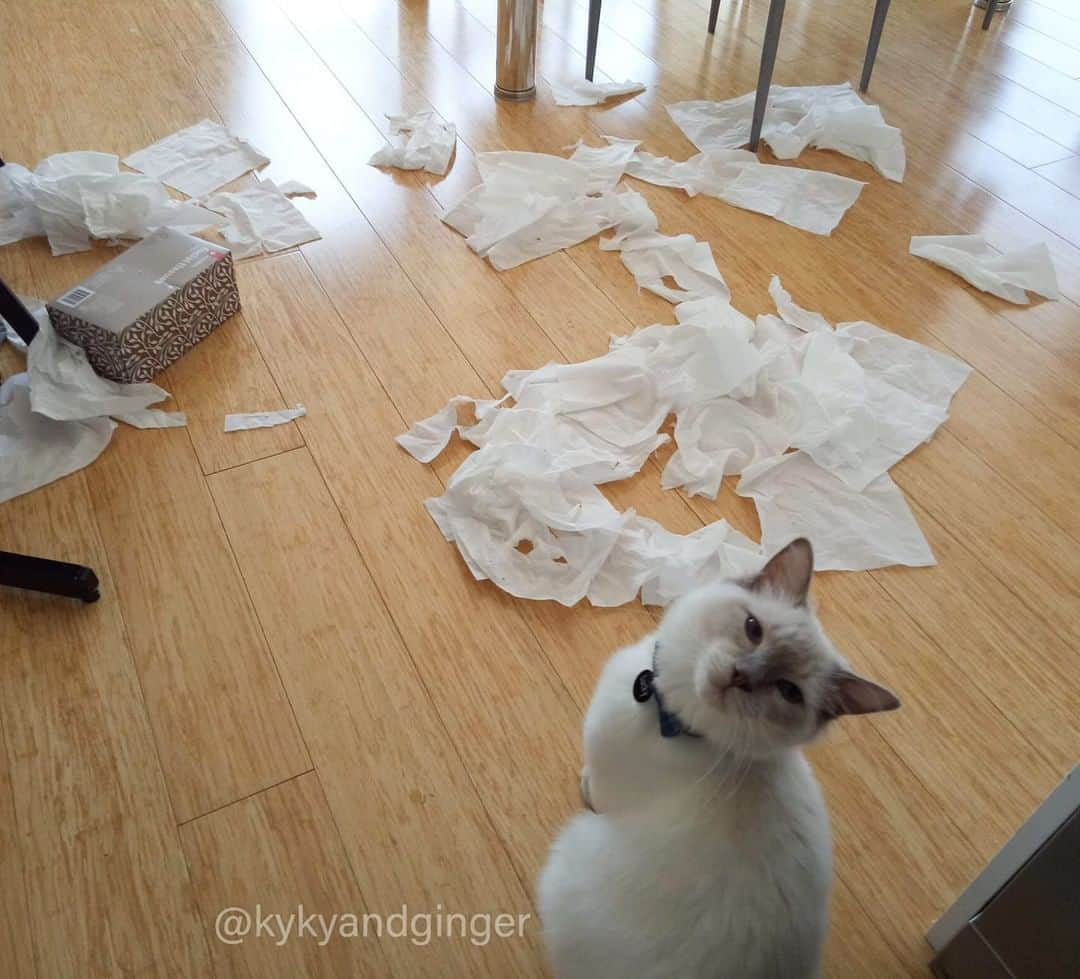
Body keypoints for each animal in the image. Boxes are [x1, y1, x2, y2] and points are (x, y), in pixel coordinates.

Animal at [535, 538, 898, 976]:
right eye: (753, 629)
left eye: (788, 691)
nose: (741, 676)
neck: (667, 713)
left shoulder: (610, 780)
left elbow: (596, 787)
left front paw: (584, 786)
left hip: (563, 863)